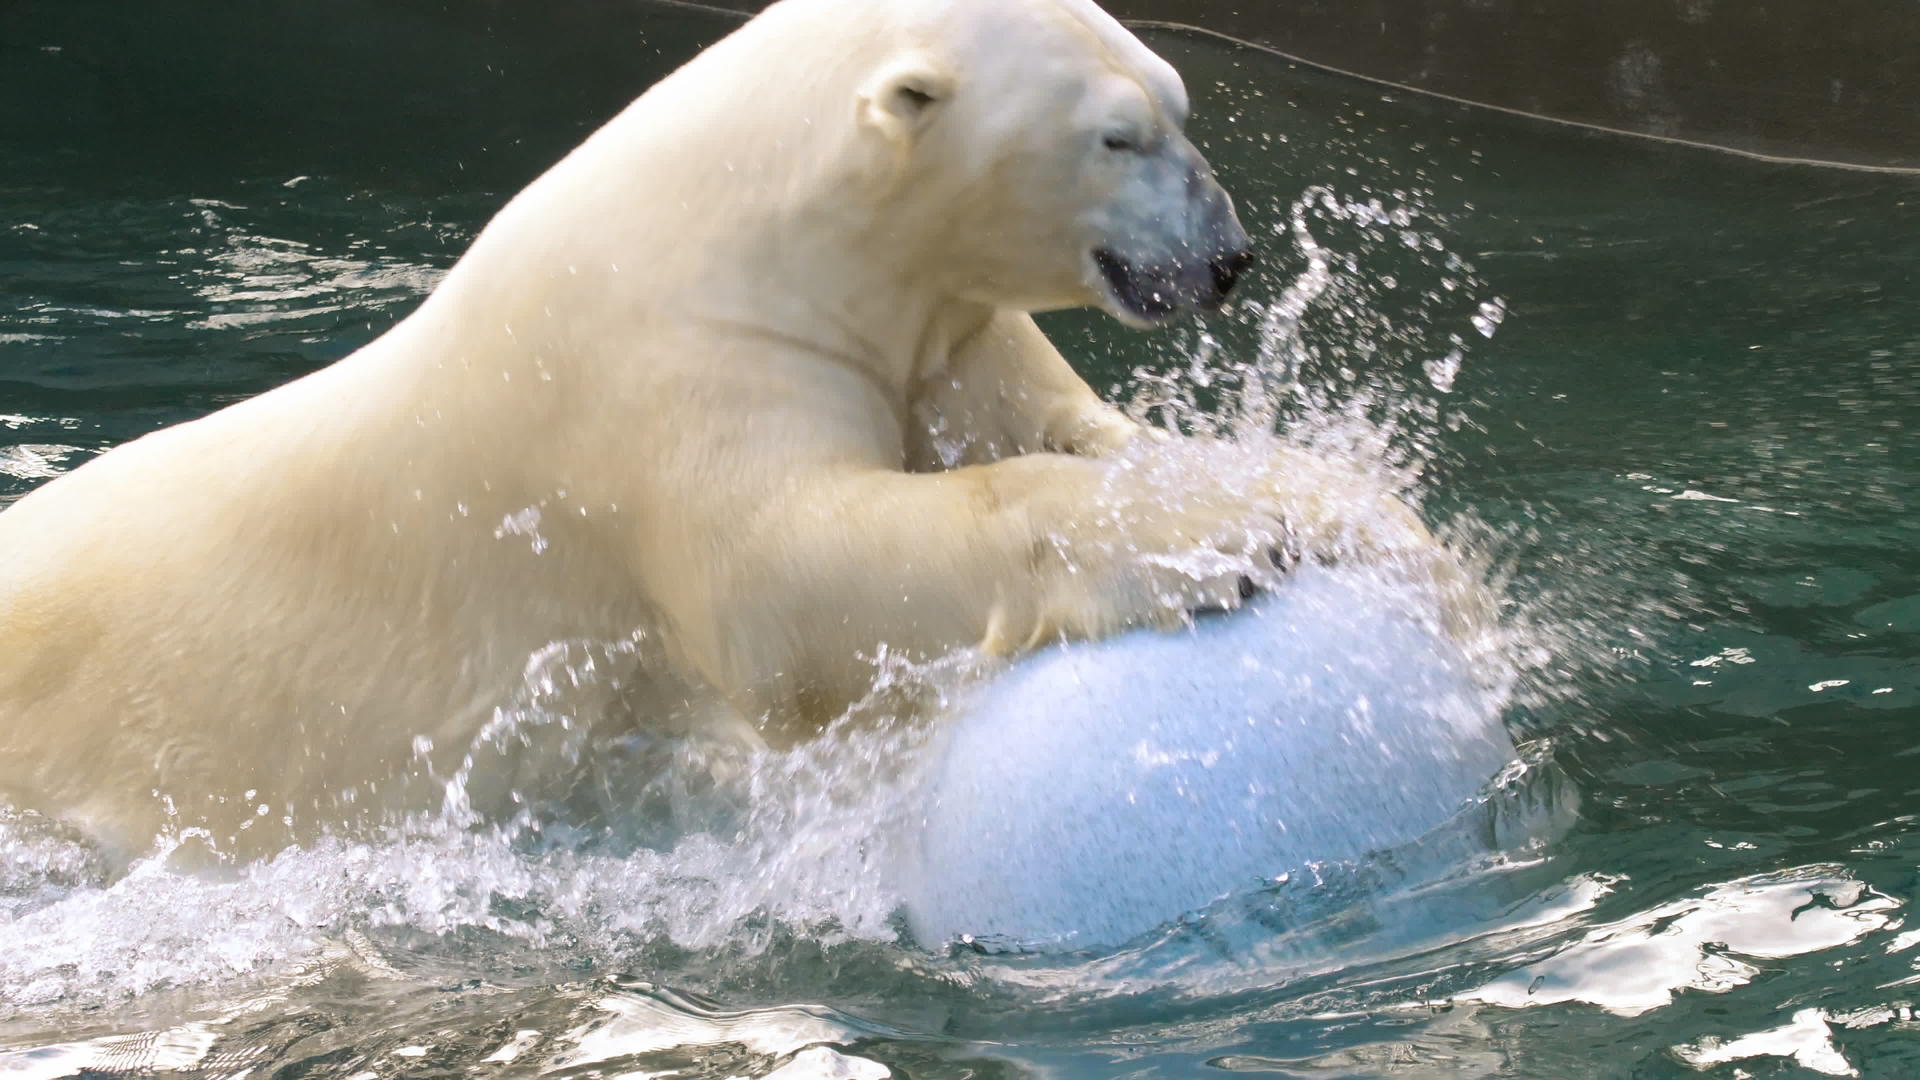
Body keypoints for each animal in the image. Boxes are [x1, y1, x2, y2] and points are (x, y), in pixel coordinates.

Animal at [0, 0, 1451, 857]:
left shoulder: (939, 332)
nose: (1229, 258)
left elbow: (1059, 427)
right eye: (1116, 135)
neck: (742, 234)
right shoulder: (668, 385)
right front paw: (1228, 532)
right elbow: (794, 579)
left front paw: (1373, 517)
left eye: (1179, 105)